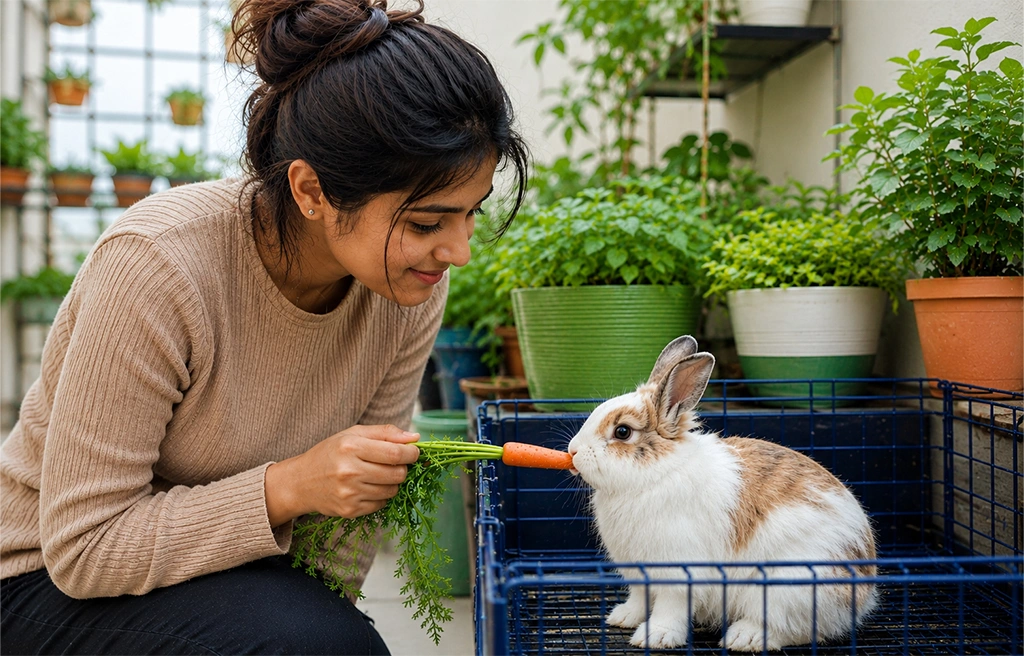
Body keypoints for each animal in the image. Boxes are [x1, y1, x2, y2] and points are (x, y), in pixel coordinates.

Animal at [567, 335, 878, 652]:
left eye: (622, 432)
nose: (572, 451)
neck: (657, 474)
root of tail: (862, 596)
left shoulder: (678, 571)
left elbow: (669, 607)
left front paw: (656, 637)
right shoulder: (638, 573)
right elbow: (640, 598)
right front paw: (623, 618)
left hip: (786, 586)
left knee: (794, 628)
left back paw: (744, 637)